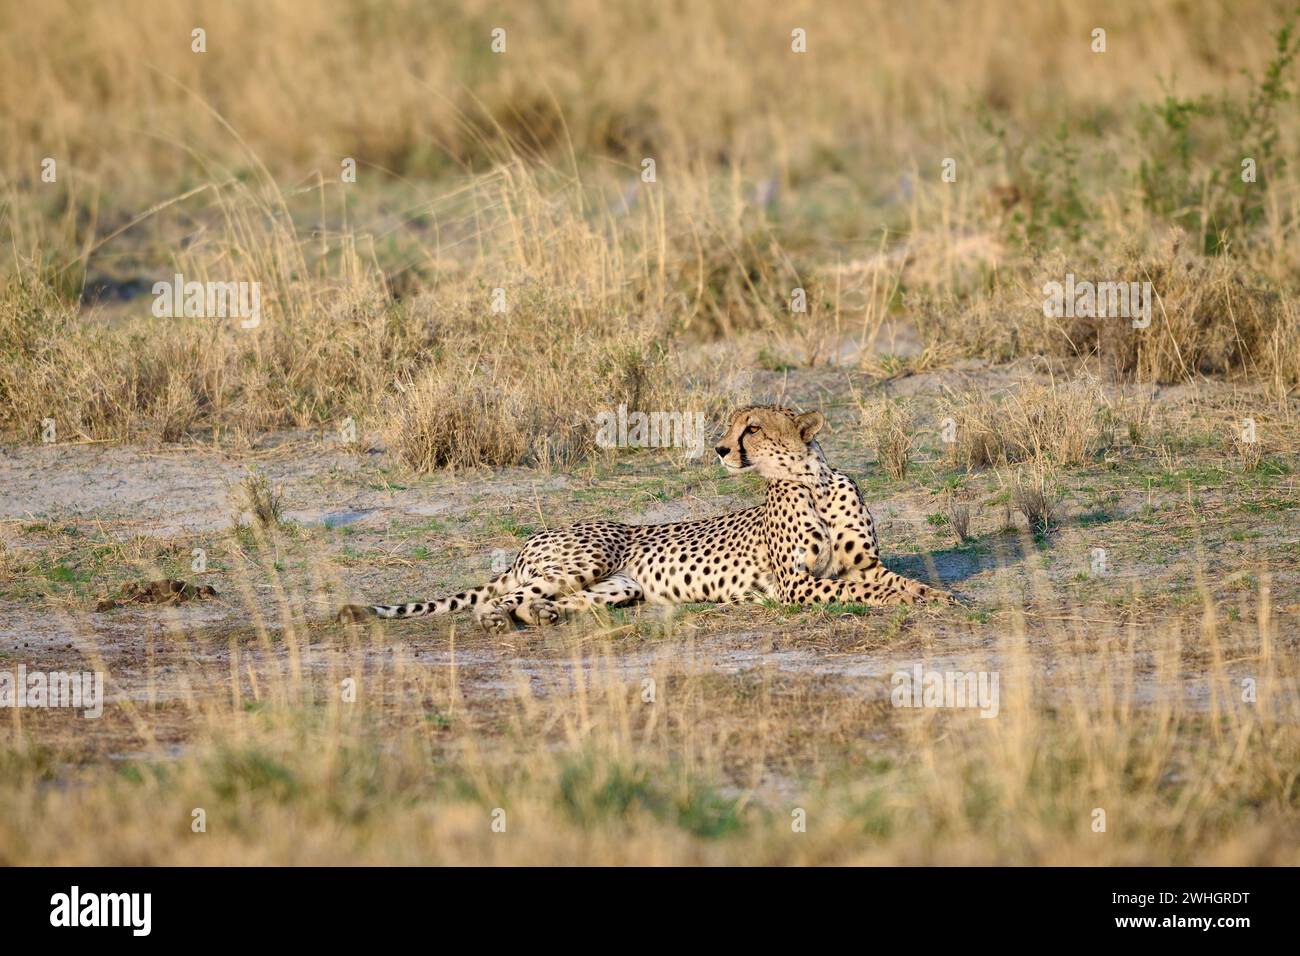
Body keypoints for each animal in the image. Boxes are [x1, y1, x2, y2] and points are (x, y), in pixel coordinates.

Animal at [338, 403, 956, 629]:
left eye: (752, 427)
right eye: (734, 425)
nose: (719, 449)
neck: (813, 483)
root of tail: (531, 539)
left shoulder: (865, 563)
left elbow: (897, 581)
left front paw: (942, 597)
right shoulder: (797, 586)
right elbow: (859, 592)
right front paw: (912, 602)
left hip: (620, 587)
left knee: (544, 601)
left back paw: (542, 617)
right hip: (584, 559)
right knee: (496, 598)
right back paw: (494, 621)